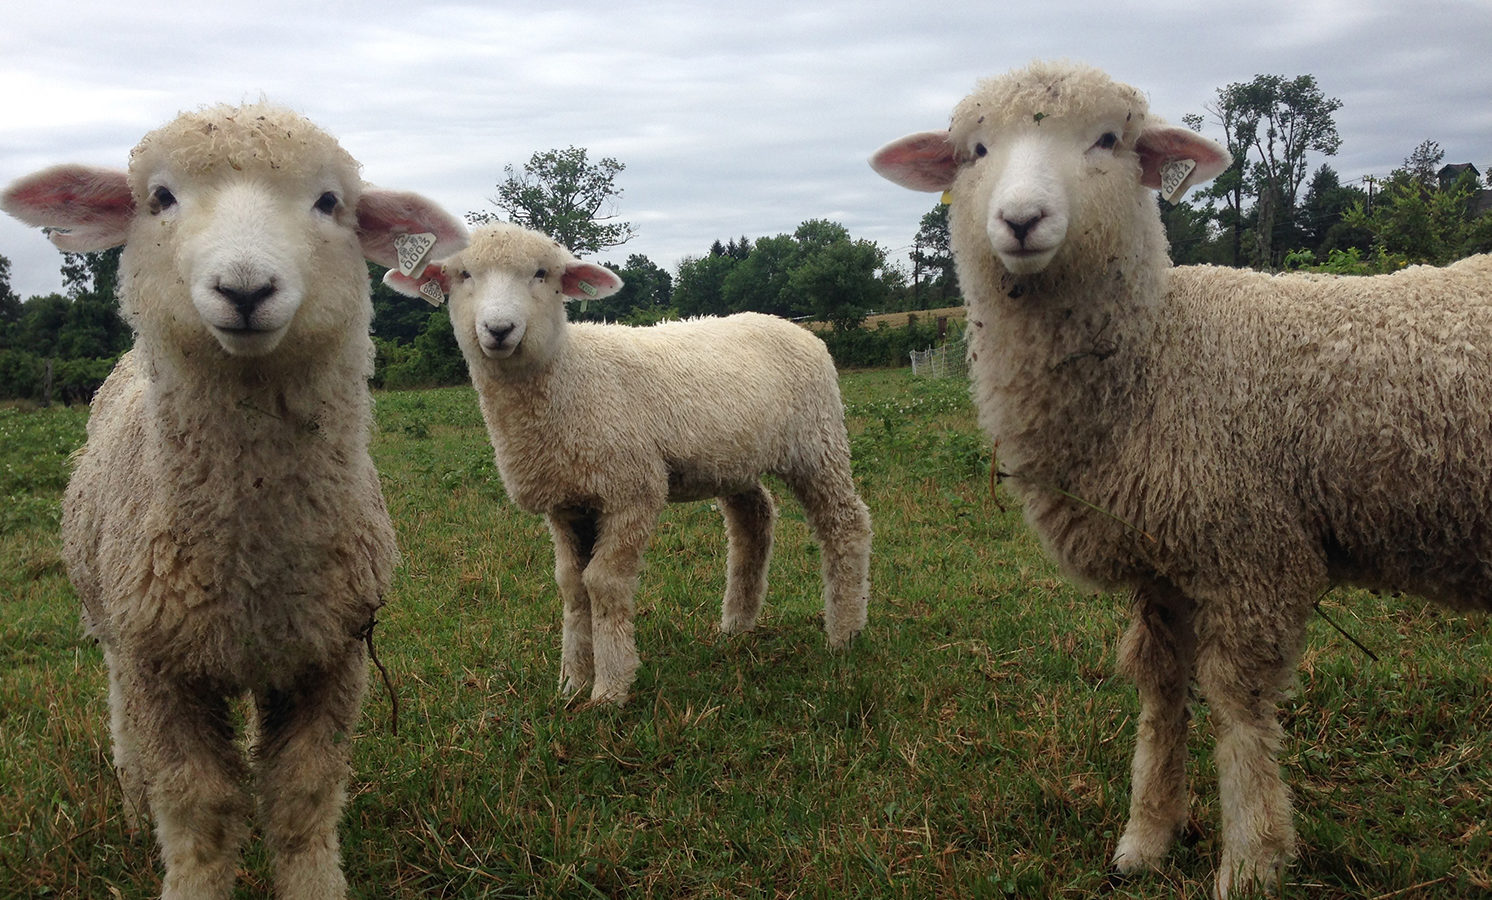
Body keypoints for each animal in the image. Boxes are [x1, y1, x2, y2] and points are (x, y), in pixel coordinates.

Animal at [0, 102, 465, 900]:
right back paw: (134, 808)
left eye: (330, 202)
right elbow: (200, 808)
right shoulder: (162, 667)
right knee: (123, 721)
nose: (245, 289)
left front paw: (312, 883)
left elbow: (303, 797)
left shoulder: (330, 658)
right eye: (159, 198)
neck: (253, 563)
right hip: (115, 627)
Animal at [384, 223, 871, 704]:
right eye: (462, 275)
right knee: (753, 519)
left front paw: (610, 689)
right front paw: (572, 682)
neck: (571, 376)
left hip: (816, 442)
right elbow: (572, 585)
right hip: (732, 459)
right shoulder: (566, 502)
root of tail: (790, 325)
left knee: (845, 523)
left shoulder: (632, 490)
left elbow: (603, 583)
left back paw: (844, 633)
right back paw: (737, 625)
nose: (499, 329)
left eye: (542, 273)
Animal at [871, 59, 1492, 895]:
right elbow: (1161, 691)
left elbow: (1238, 706)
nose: (1022, 220)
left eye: (1108, 140)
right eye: (975, 151)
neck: (1160, 350)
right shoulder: (1161, 562)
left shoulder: (1251, 553)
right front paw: (1147, 836)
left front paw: (1250, 862)